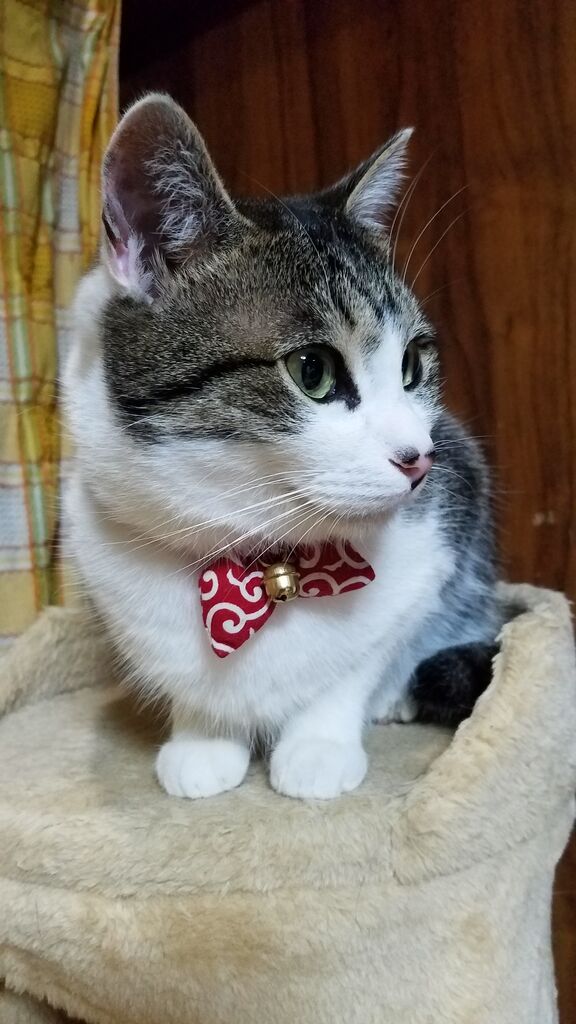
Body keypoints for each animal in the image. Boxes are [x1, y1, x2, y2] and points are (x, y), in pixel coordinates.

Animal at [63, 93, 503, 801]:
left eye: (412, 364)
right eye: (312, 370)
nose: (419, 459)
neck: (260, 561)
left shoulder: (441, 536)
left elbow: (360, 662)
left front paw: (320, 745)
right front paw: (202, 741)